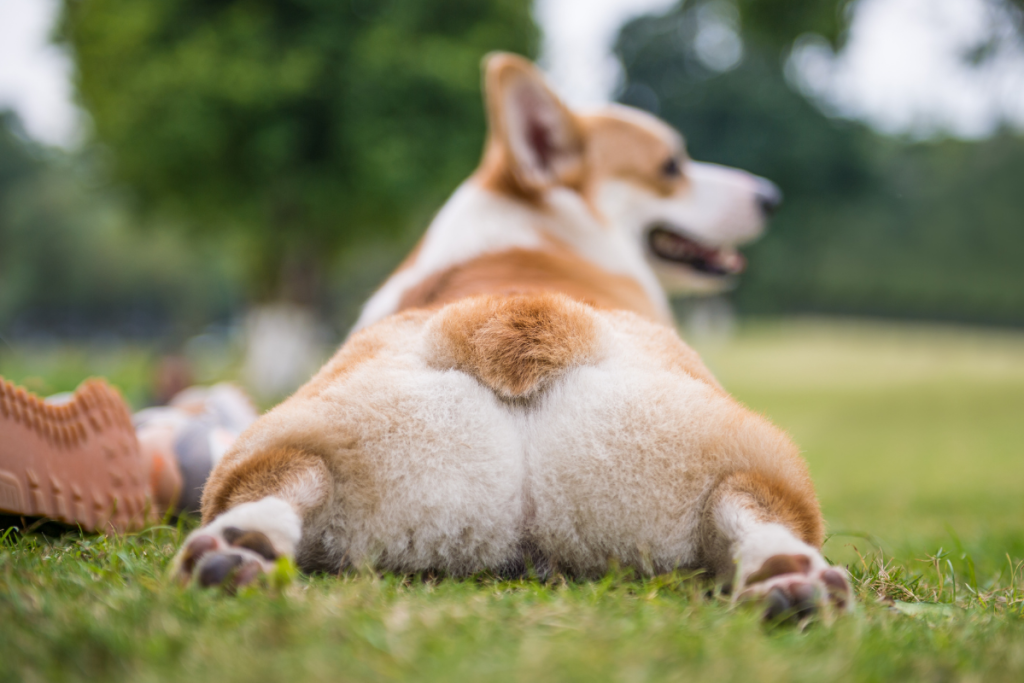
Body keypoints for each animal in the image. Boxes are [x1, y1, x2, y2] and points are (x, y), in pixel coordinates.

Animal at [174, 54, 847, 618]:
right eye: (671, 167)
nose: (771, 196)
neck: (537, 233)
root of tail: (513, 322)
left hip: (297, 438)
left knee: (288, 480)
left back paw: (241, 547)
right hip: (772, 457)